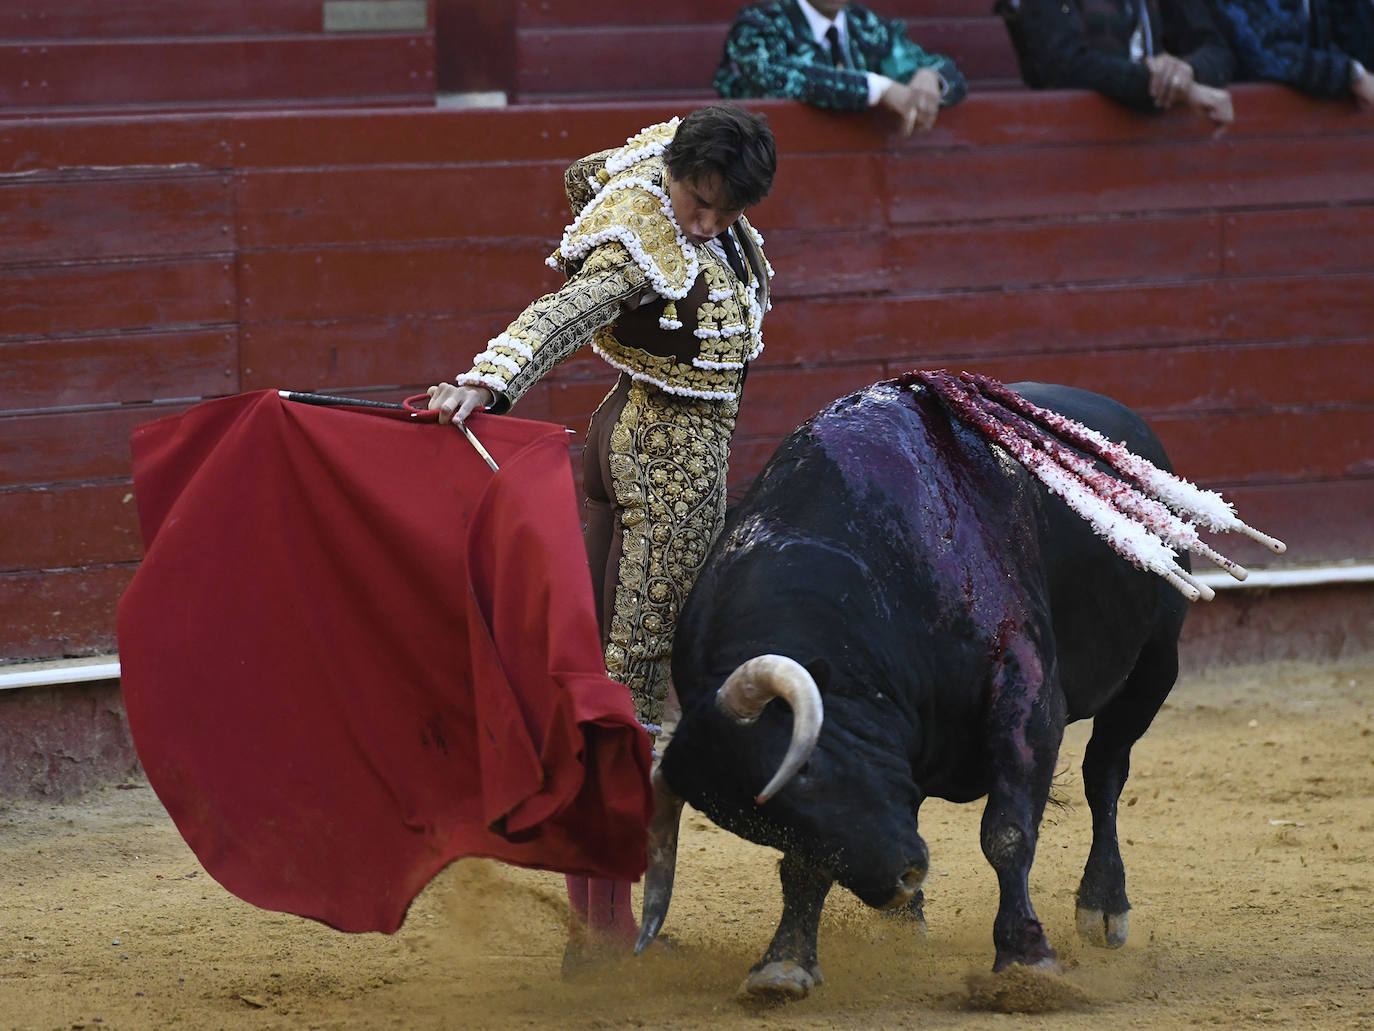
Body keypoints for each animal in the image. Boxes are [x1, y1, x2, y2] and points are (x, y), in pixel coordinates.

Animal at [643, 379, 1192, 1000]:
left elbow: (1007, 831)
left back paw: (1103, 906)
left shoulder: (1026, 692)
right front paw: (784, 963)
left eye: (806, 770)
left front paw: (1026, 958)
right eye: (751, 822)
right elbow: (805, 860)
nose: (899, 879)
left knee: (1104, 774)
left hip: (1154, 665)